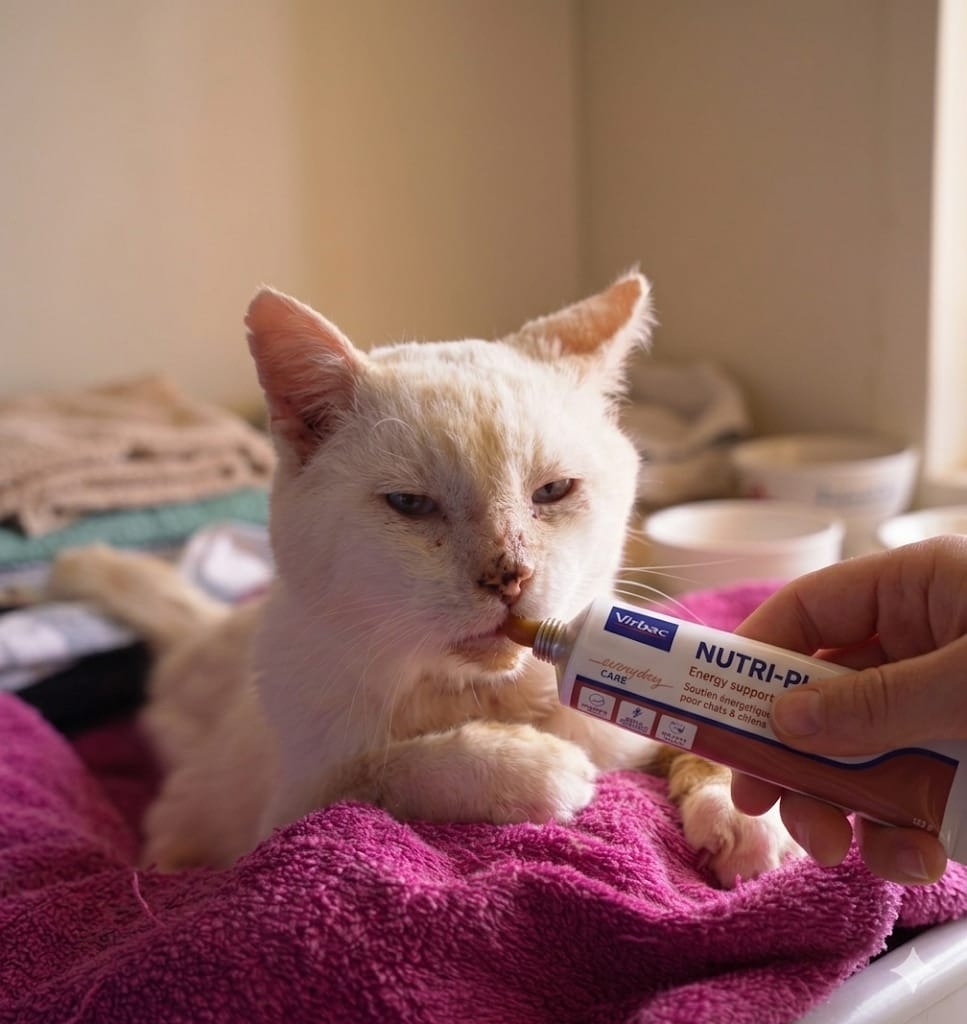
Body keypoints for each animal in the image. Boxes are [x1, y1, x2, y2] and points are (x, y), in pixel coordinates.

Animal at [48, 272, 799, 885]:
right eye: (410, 505)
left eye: (553, 491)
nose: (509, 575)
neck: (481, 695)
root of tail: (200, 637)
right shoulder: (290, 815)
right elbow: (390, 770)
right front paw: (534, 767)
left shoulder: (626, 733)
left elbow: (704, 748)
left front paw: (744, 816)